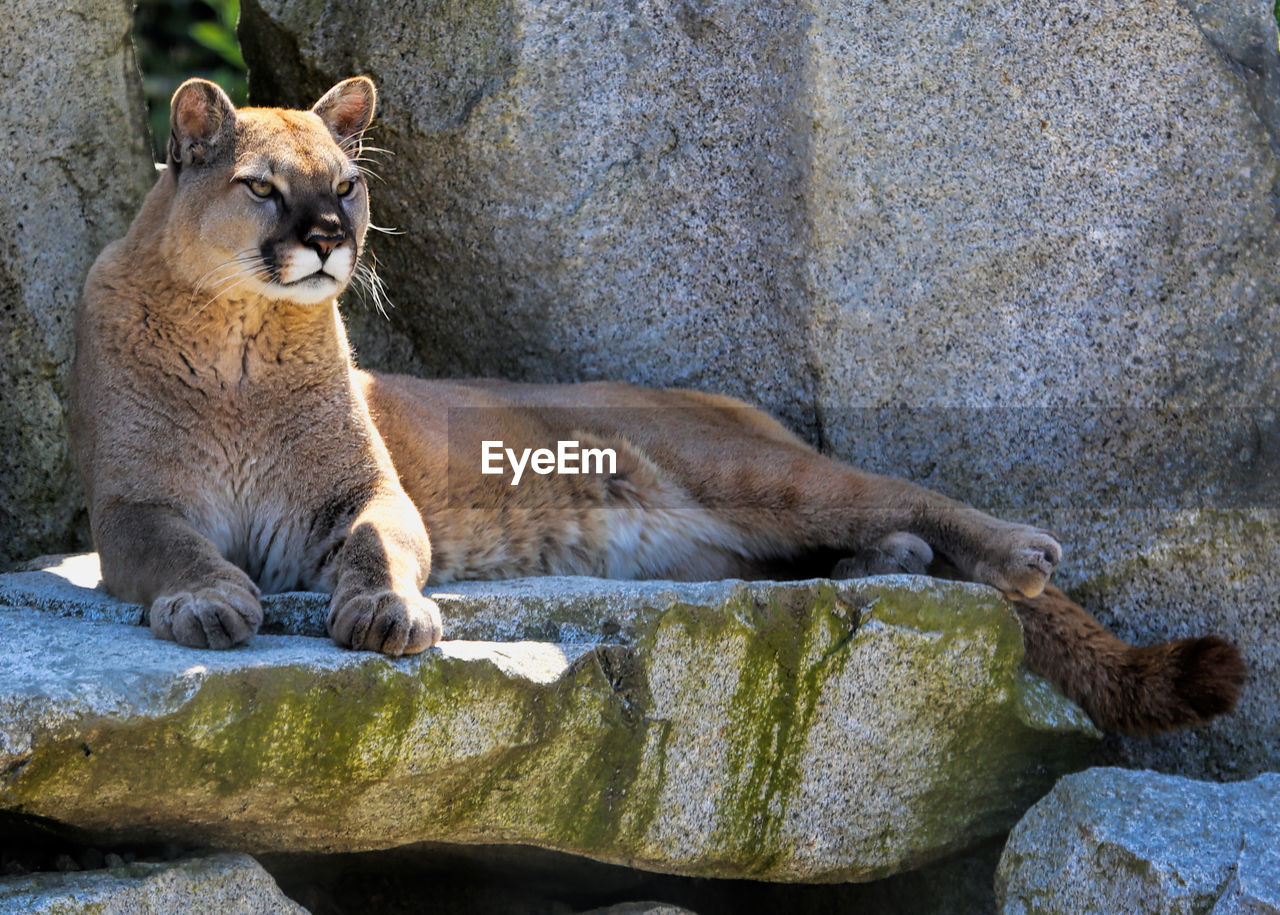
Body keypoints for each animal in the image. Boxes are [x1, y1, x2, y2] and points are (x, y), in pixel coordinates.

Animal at [67, 78, 1239, 737]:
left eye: (345, 185)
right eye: (264, 188)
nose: (326, 238)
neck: (242, 342)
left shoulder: (362, 494)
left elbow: (376, 548)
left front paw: (389, 613)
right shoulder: (130, 507)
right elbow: (179, 551)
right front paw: (208, 602)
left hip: (754, 473)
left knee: (896, 491)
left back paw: (1006, 551)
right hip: (731, 537)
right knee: (829, 547)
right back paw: (889, 562)